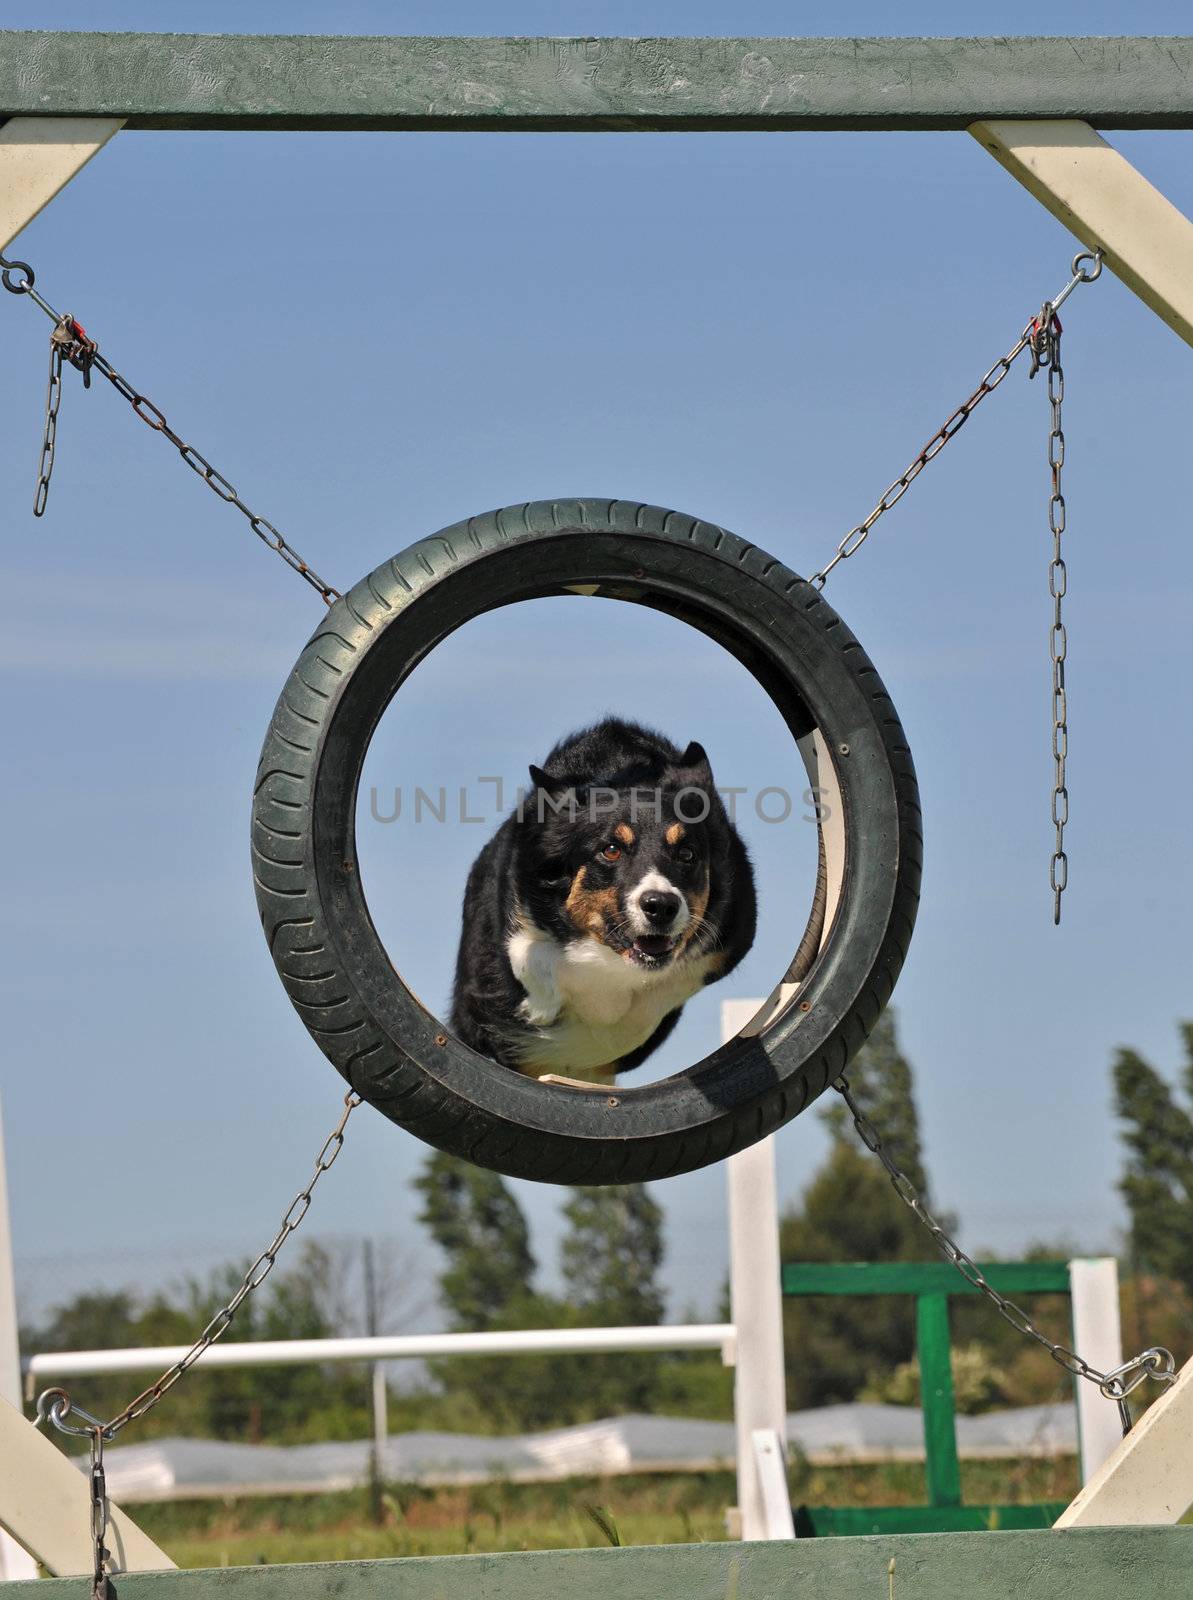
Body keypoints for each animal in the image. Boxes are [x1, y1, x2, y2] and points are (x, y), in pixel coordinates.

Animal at [447, 720, 751, 1081]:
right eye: (611, 850)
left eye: (687, 853)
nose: (661, 906)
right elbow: (532, 957)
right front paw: (545, 1008)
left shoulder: (726, 942)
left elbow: (659, 991)